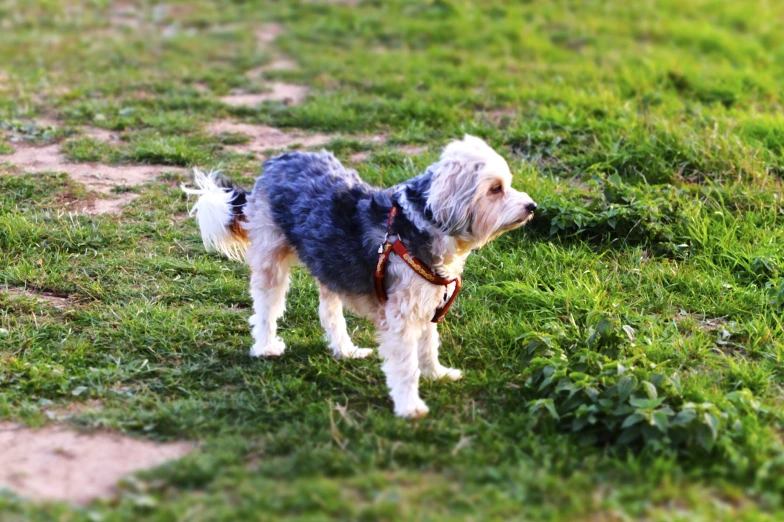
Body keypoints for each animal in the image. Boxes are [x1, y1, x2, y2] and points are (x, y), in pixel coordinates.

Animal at [183, 136, 536, 416]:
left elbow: (428, 346)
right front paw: (410, 407)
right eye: (495, 188)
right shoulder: (401, 317)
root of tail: (276, 161)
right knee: (265, 309)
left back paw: (345, 350)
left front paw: (436, 374)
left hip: (330, 264)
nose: (532, 206)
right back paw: (266, 347)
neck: (418, 223)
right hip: (272, 262)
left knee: (328, 312)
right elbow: (407, 367)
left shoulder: (426, 302)